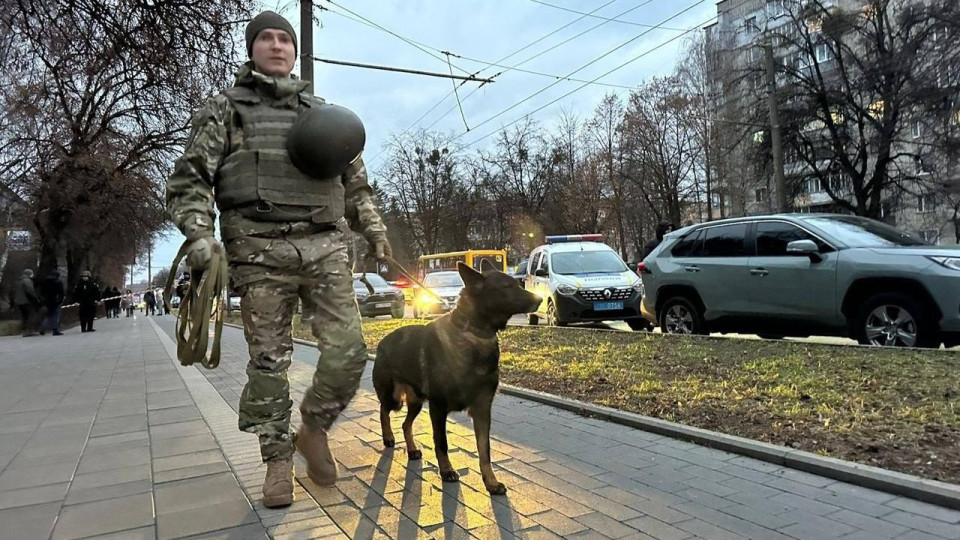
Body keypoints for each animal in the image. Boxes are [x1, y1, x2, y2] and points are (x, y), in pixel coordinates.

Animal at [374, 260, 540, 494]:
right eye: (507, 287)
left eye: (518, 284)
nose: (540, 299)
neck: (475, 333)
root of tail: (381, 342)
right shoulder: (438, 409)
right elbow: (441, 443)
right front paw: (446, 471)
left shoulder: (482, 411)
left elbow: (485, 451)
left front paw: (491, 482)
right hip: (394, 397)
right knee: (383, 411)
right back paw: (388, 437)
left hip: (416, 403)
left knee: (406, 425)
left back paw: (412, 449)